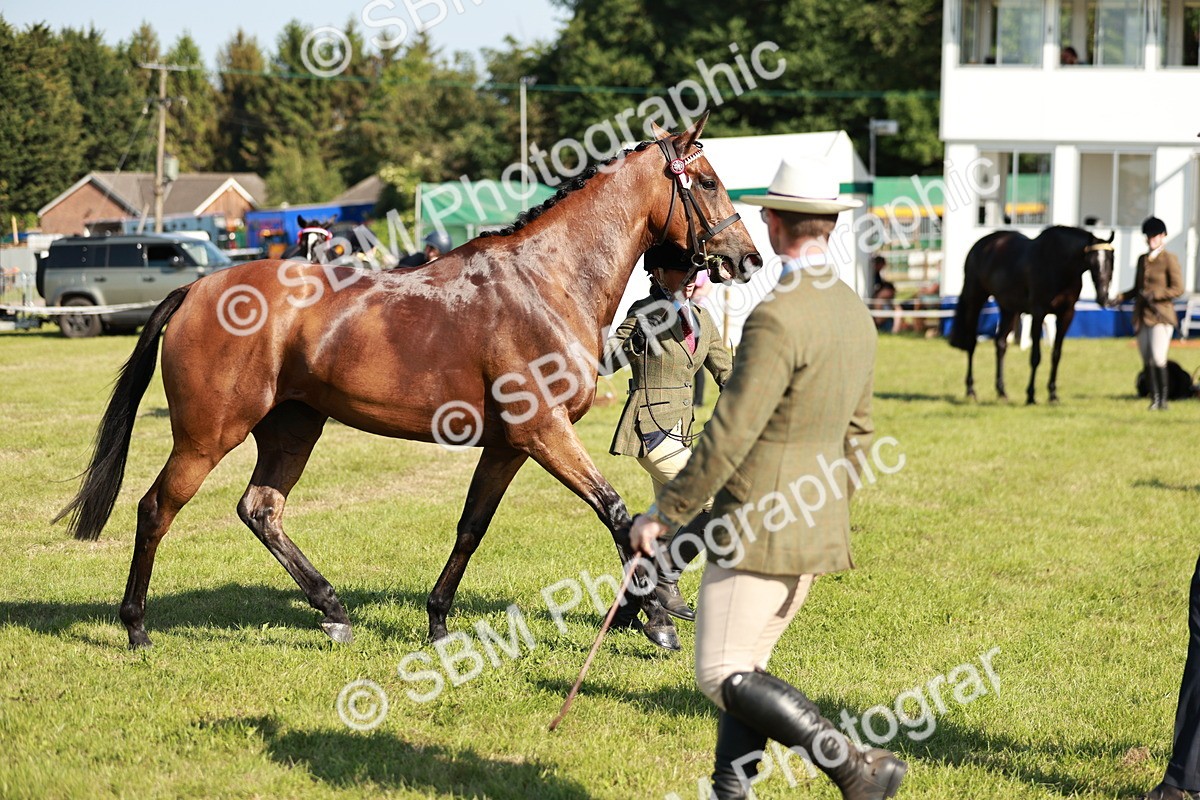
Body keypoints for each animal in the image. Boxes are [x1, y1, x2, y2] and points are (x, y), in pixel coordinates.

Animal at [54, 114, 763, 651]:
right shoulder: (544, 432)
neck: (547, 281)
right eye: (706, 181)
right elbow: (615, 511)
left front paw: (439, 620)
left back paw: (333, 610)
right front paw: (659, 613)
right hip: (208, 434)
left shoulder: (509, 445)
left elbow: (472, 527)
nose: (748, 258)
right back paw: (137, 628)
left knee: (261, 509)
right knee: (156, 508)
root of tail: (197, 287)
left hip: (293, 427)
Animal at [950, 225, 1114, 404]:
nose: (1103, 297)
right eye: (1092, 261)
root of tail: (981, 245)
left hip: (1008, 309)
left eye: (1112, 260)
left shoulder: (1066, 314)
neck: (1058, 265)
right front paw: (1030, 395)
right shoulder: (1038, 313)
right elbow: (1036, 357)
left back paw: (1002, 391)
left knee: (1000, 344)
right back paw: (971, 390)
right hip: (975, 300)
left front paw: (1053, 394)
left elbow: (1056, 355)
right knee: (971, 344)